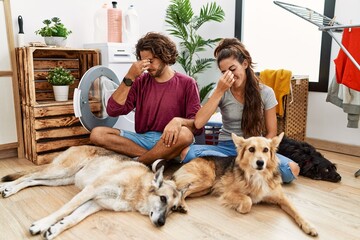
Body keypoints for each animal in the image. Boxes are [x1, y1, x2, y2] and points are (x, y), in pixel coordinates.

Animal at [0, 145, 186, 239]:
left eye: (174, 209)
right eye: (163, 198)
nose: (161, 223)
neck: (137, 189)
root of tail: (78, 144)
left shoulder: (94, 203)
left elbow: (73, 219)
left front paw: (55, 229)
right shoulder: (90, 190)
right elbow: (65, 210)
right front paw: (42, 224)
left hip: (61, 179)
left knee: (32, 180)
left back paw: (9, 188)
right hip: (60, 171)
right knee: (29, 175)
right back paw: (7, 187)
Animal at [174, 133, 318, 236]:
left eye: (266, 150)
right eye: (251, 149)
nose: (260, 163)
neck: (258, 175)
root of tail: (195, 159)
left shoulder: (282, 198)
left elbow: (296, 211)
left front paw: (309, 226)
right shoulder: (228, 193)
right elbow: (248, 200)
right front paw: (239, 207)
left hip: (205, 189)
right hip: (207, 180)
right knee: (181, 190)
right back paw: (181, 205)